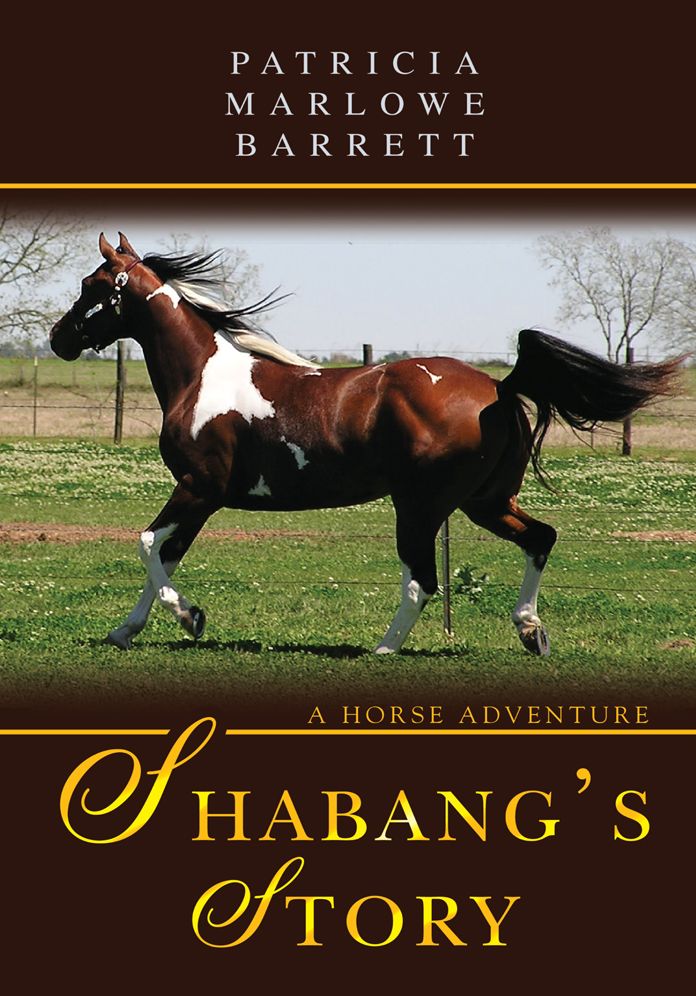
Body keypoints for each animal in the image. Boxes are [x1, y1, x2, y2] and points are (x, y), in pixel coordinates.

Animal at [49, 233, 682, 656]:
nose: (58, 339)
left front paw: (192, 617)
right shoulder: (201, 497)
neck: (201, 378)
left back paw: (383, 648)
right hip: (485, 501)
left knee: (423, 580)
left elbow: (148, 544)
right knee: (539, 539)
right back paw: (531, 631)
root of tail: (499, 387)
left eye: (92, 286)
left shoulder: (200, 488)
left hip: (421, 505)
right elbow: (165, 554)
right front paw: (126, 630)